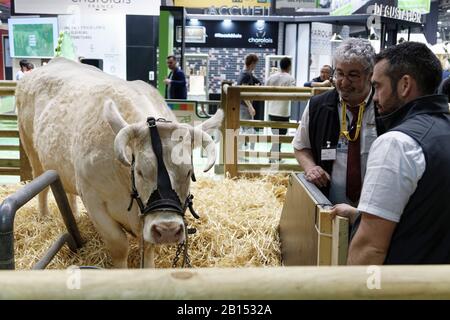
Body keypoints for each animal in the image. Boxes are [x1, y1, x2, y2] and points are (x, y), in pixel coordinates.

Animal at [15, 57, 223, 268]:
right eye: (139, 171)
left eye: (188, 172)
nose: (167, 229)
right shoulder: (93, 200)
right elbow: (119, 245)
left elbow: (148, 248)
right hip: (30, 146)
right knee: (40, 183)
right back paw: (44, 216)